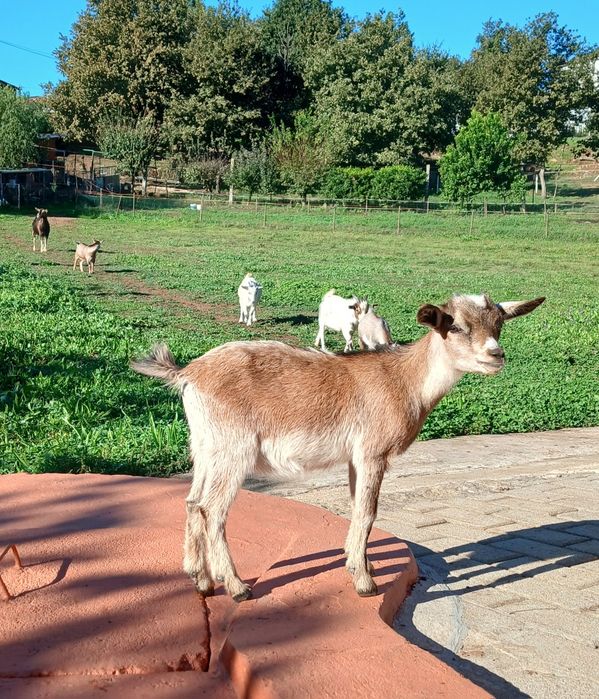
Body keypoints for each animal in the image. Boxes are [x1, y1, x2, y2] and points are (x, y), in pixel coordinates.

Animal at [132, 293, 544, 602]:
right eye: (455, 325)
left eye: (500, 323)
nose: (496, 355)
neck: (404, 381)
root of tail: (188, 374)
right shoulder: (373, 452)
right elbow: (368, 512)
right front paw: (365, 583)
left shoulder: (354, 458)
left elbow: (356, 507)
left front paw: (362, 564)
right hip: (234, 449)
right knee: (212, 510)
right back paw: (236, 587)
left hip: (206, 446)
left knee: (192, 502)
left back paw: (200, 580)